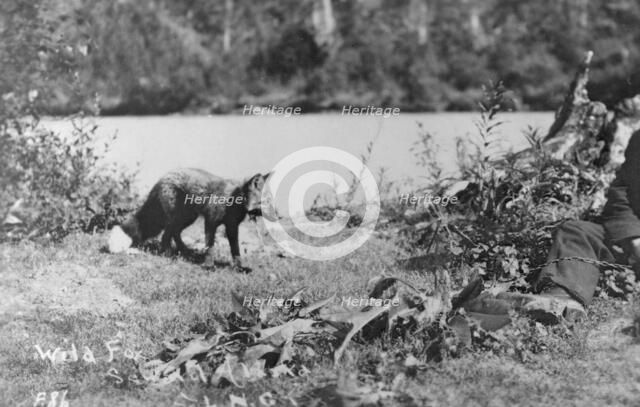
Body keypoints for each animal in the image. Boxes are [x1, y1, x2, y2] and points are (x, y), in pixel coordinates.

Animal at [108, 168, 269, 272]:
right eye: (264, 201)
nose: (273, 217)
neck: (234, 199)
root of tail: (163, 177)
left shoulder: (232, 227)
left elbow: (235, 251)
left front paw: (239, 268)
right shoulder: (211, 222)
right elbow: (210, 247)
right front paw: (209, 266)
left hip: (187, 218)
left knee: (175, 234)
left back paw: (184, 251)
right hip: (176, 218)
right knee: (167, 235)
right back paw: (168, 254)